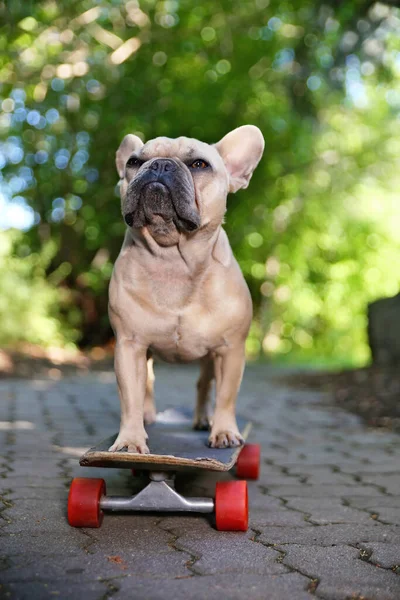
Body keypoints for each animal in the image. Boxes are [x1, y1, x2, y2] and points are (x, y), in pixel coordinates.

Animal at [109, 126, 264, 452]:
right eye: (133, 161)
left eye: (199, 165)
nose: (159, 165)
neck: (173, 261)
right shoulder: (129, 346)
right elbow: (129, 396)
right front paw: (130, 439)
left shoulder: (230, 350)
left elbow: (227, 395)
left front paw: (224, 431)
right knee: (147, 384)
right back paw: (148, 416)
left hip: (210, 358)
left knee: (204, 385)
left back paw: (205, 420)